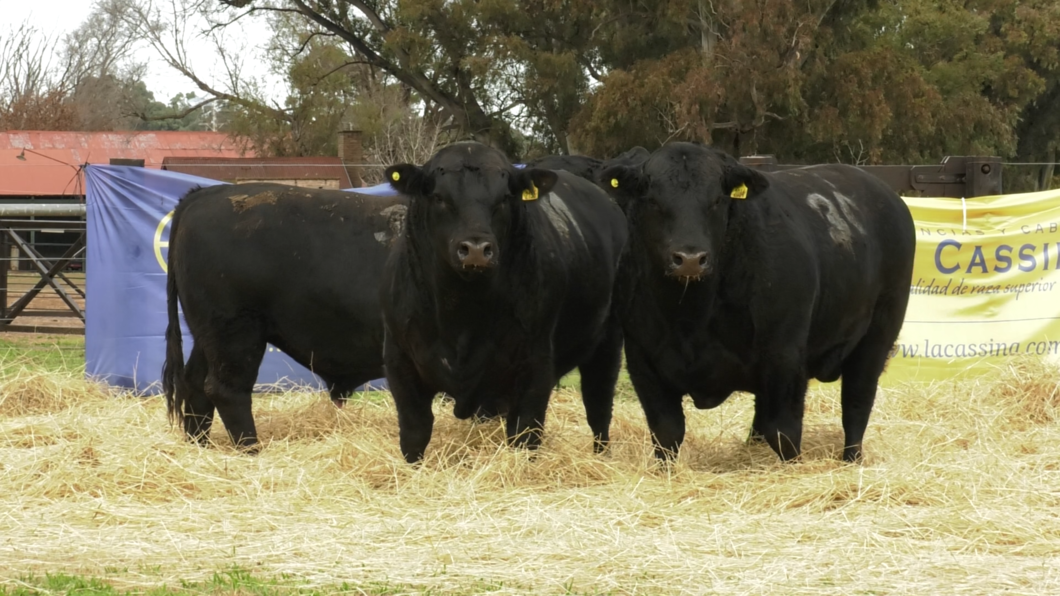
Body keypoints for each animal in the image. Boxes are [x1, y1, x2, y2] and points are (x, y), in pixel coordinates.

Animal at [163, 183, 407, 447]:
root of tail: (204, 193)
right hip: (236, 333)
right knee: (226, 390)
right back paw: (250, 449)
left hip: (208, 336)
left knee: (196, 383)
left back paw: (199, 444)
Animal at [602, 143, 915, 460]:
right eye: (653, 200)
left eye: (717, 200)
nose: (690, 259)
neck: (692, 316)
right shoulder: (643, 361)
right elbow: (667, 433)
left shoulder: (785, 357)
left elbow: (783, 432)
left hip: (878, 334)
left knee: (857, 401)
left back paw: (851, 459)